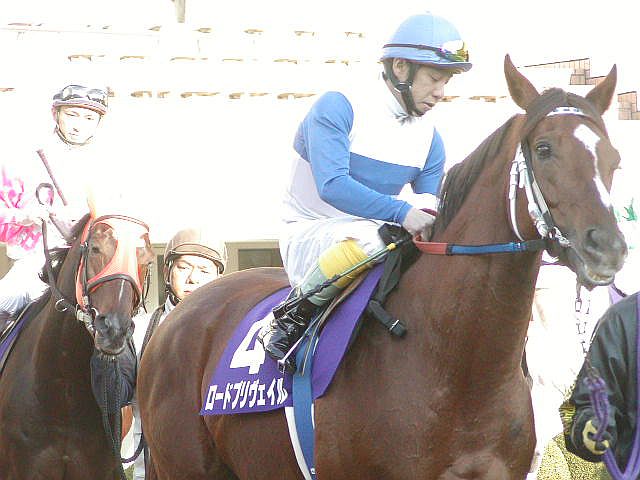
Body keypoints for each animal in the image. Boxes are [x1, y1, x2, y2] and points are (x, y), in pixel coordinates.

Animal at [138, 55, 627, 479]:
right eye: (543, 149)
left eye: (614, 158)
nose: (608, 247)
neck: (458, 366)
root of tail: (176, 316)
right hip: (185, 466)